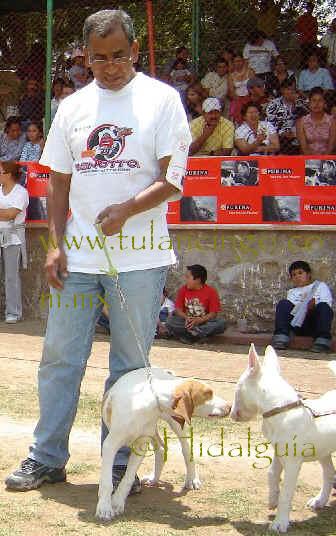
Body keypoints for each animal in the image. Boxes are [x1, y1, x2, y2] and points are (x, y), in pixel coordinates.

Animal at [96, 366, 230, 520]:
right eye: (208, 393)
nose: (230, 406)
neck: (151, 401)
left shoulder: (141, 445)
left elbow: (128, 478)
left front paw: (117, 503)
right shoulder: (110, 445)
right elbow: (107, 482)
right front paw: (105, 508)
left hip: (176, 423)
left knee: (186, 450)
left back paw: (192, 479)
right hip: (155, 430)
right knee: (161, 448)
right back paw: (154, 478)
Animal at [231, 346, 336, 532]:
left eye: (237, 386)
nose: (231, 414)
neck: (281, 410)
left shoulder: (293, 463)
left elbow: (287, 492)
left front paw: (280, 522)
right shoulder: (278, 451)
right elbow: (271, 473)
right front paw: (273, 499)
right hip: (323, 451)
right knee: (329, 472)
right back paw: (319, 501)